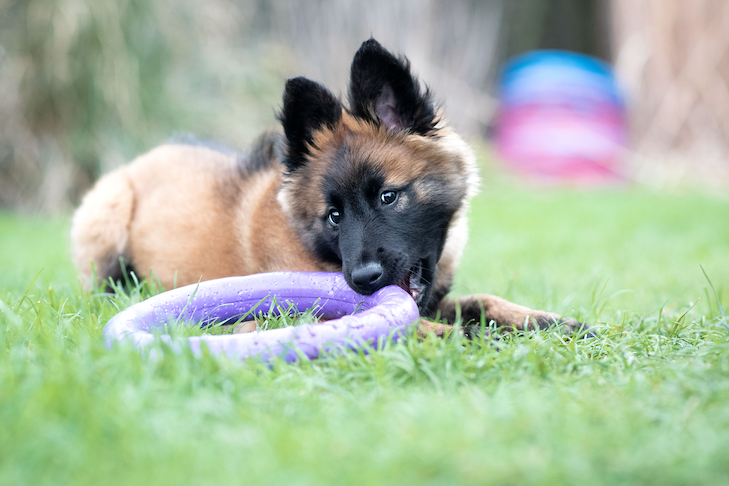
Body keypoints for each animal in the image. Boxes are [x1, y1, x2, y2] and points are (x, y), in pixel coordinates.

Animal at [71, 38, 584, 336]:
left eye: (388, 196)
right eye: (333, 216)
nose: (364, 280)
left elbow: (483, 302)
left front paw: (554, 322)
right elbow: (429, 328)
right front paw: (471, 338)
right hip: (106, 214)